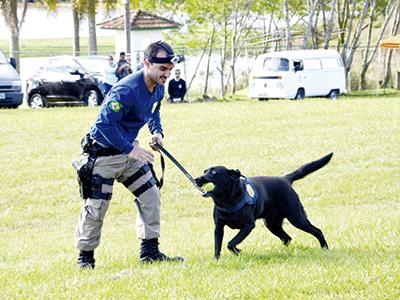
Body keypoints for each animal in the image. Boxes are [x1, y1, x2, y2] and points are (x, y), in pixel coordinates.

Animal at [195, 152, 332, 258]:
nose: (197, 179)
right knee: (287, 238)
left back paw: (325, 248)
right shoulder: (218, 227)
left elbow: (231, 243)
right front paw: (217, 260)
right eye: (205, 171)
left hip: (296, 218)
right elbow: (217, 246)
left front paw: (238, 251)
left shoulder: (248, 225)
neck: (226, 200)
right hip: (272, 224)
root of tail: (285, 179)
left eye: (213, 172)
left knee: (317, 231)